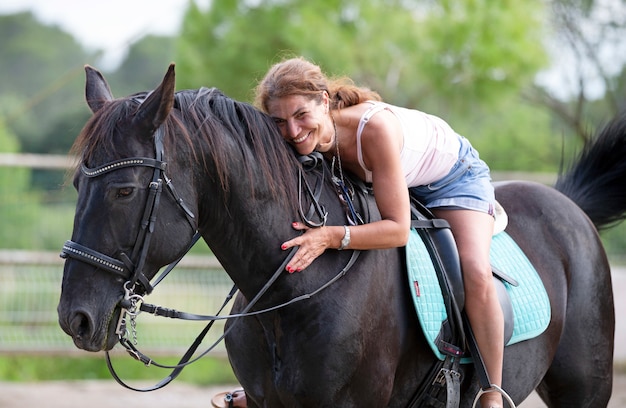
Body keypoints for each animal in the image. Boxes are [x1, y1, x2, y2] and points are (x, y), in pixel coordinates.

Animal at [57, 63, 620, 404]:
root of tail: (569, 204)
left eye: (125, 190)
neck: (292, 295)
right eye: (78, 184)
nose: (74, 318)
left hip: (583, 389)